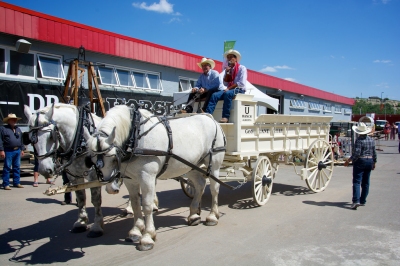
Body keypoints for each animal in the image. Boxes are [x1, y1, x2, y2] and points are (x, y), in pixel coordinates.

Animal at [23, 103, 106, 237]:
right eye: (30, 139)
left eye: (51, 136)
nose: (45, 170)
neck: (79, 139)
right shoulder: (74, 175)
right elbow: (81, 197)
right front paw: (81, 222)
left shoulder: (94, 175)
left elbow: (96, 200)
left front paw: (97, 226)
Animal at [86, 105, 227, 250]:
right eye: (91, 159)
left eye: (114, 158)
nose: (110, 188)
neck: (136, 135)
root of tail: (210, 118)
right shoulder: (130, 180)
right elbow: (135, 204)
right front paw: (135, 231)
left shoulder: (147, 177)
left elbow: (147, 205)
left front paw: (147, 237)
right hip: (191, 165)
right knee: (200, 184)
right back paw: (193, 215)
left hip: (214, 164)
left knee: (214, 188)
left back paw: (212, 216)